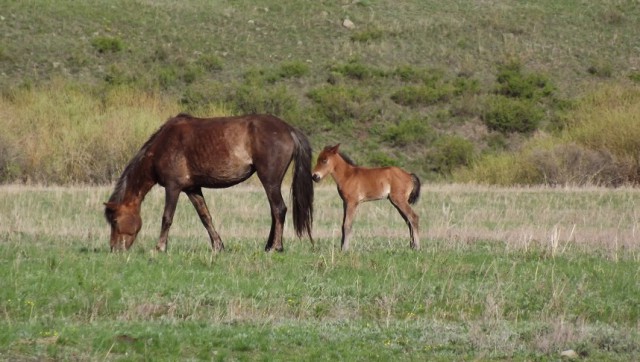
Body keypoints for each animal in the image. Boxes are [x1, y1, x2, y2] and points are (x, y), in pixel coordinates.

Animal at [105, 113, 316, 252]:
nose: (115, 249)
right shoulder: (192, 189)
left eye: (114, 221)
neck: (162, 146)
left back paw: (276, 247)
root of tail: (289, 129)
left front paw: (160, 247)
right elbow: (205, 217)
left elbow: (167, 218)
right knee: (274, 211)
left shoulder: (173, 188)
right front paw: (218, 246)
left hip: (270, 181)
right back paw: (268, 245)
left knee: (279, 209)